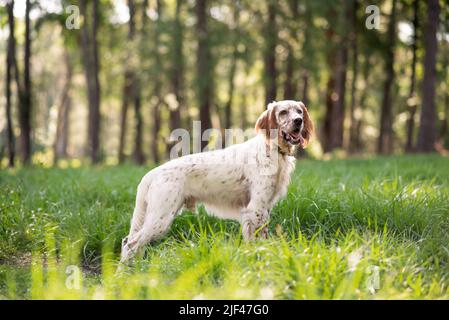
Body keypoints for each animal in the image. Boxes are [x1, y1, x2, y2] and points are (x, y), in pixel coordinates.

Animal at [121, 99, 314, 262]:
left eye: (299, 111)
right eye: (283, 112)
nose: (298, 121)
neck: (272, 149)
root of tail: (153, 173)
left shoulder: (263, 207)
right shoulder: (256, 208)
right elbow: (258, 240)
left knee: (129, 242)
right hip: (161, 217)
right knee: (130, 243)